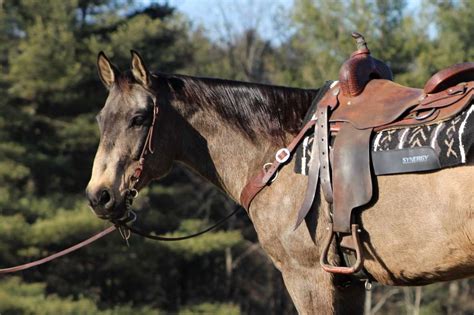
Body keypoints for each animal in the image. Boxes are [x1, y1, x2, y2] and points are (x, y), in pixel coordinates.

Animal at [86, 40, 474, 315]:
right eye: (100, 119)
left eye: (139, 118)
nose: (99, 195)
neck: (280, 152)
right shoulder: (345, 284)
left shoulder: (309, 276)